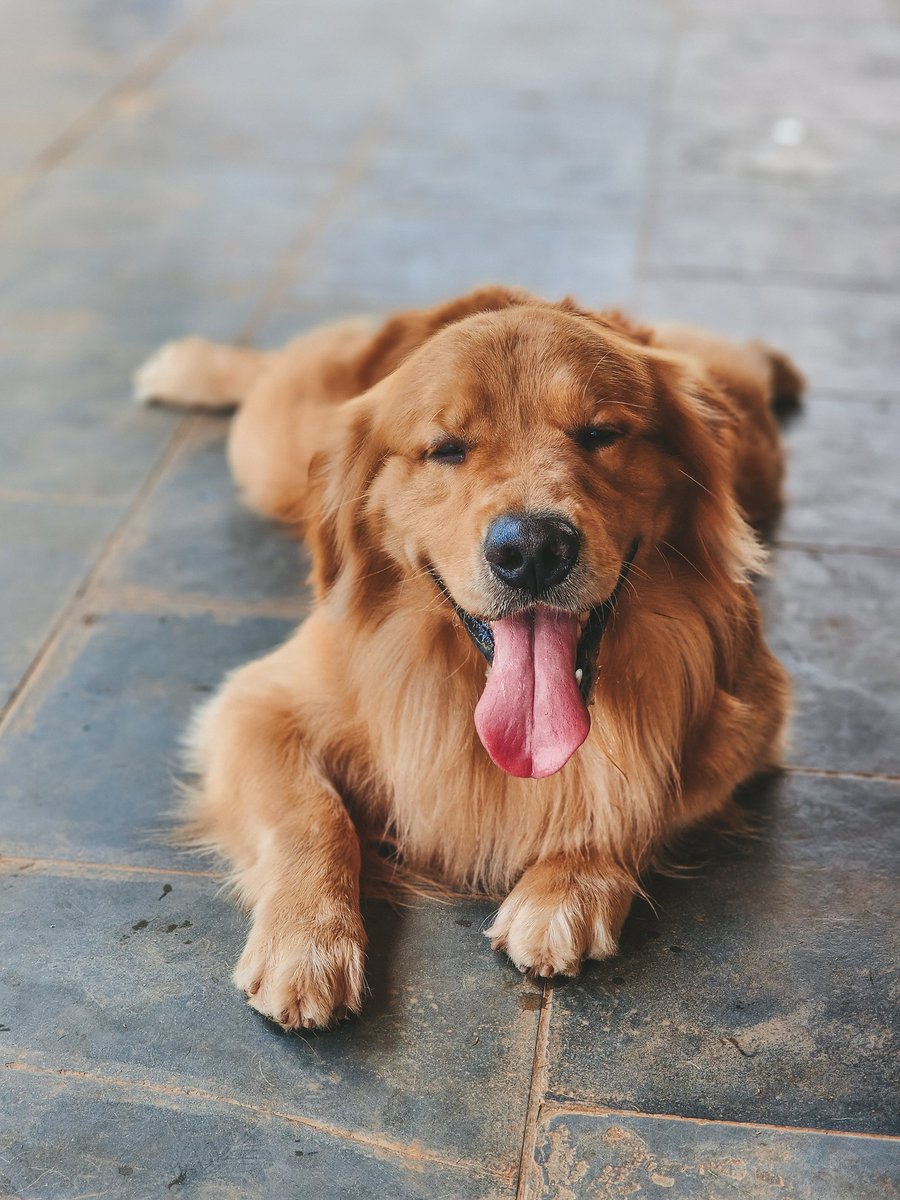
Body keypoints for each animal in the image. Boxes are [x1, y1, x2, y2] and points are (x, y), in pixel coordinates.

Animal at [135, 285, 801, 1027]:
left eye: (601, 434)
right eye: (446, 449)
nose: (533, 549)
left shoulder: (748, 720)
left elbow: (643, 793)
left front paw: (566, 887)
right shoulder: (260, 703)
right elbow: (312, 816)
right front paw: (307, 942)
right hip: (272, 453)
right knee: (266, 373)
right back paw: (186, 364)